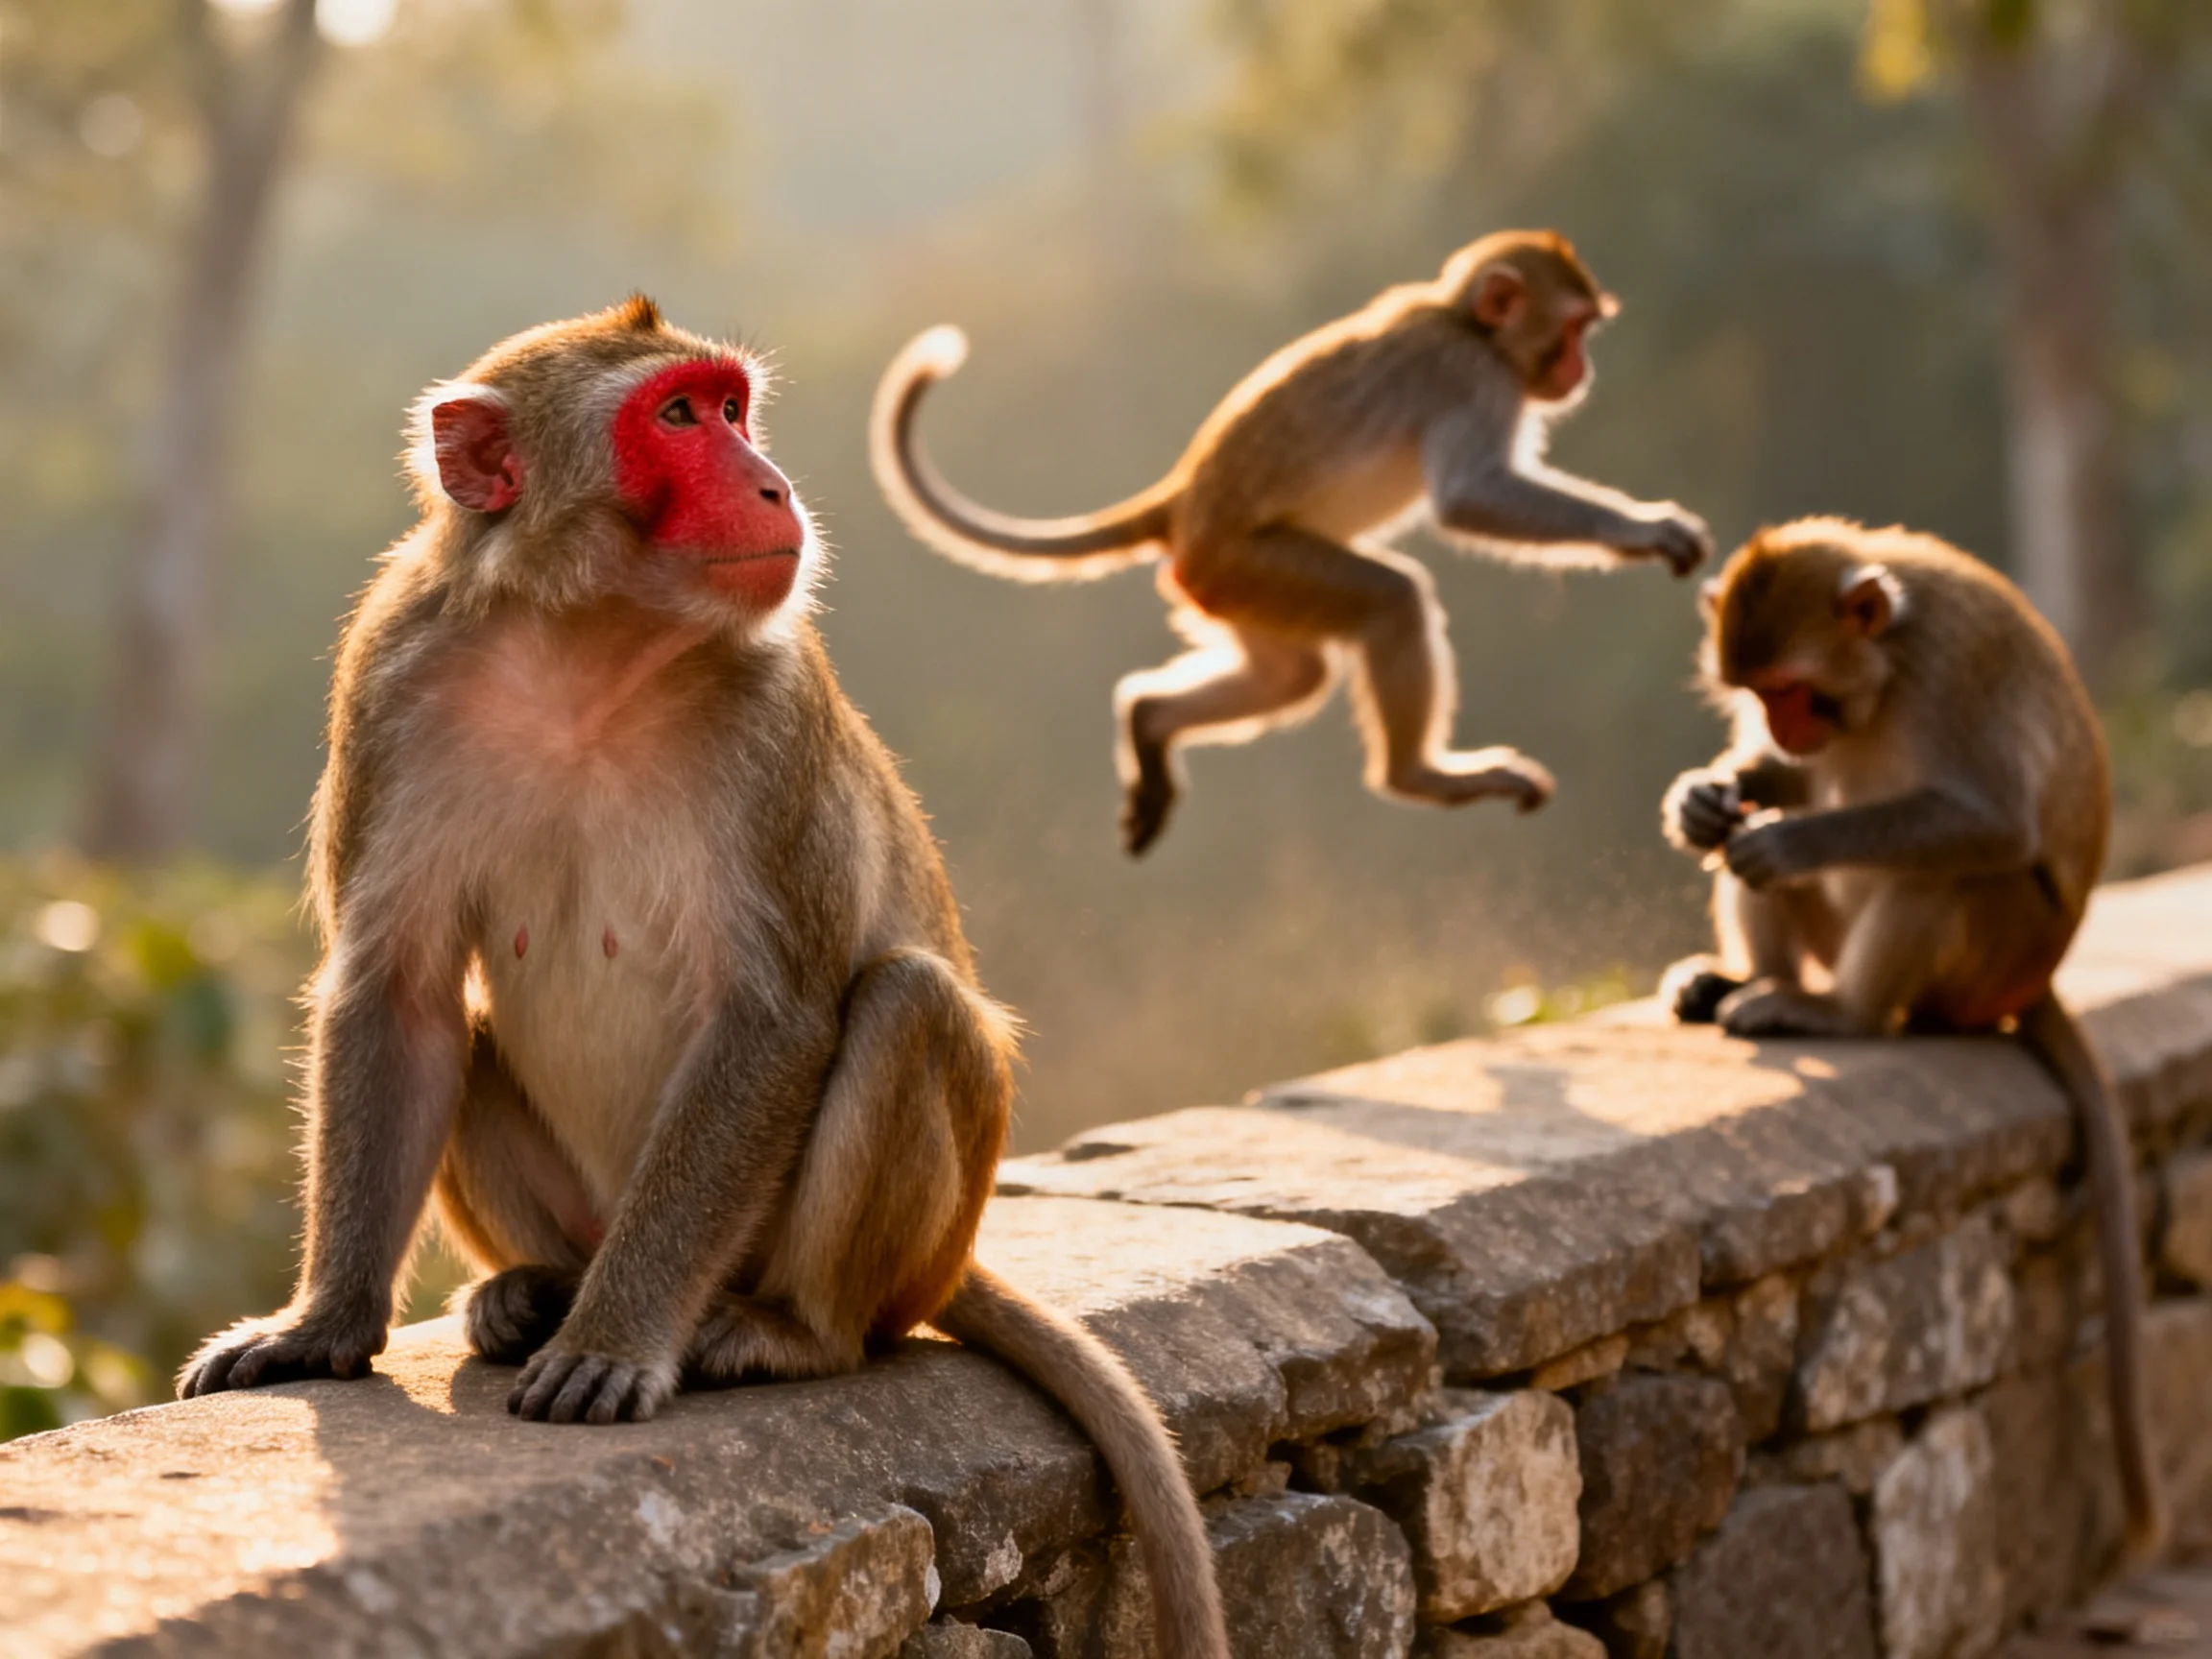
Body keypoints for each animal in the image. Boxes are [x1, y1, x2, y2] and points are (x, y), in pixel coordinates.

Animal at [174, 297, 1230, 1659]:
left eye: (731, 409)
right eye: (677, 417)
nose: (771, 482)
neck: (587, 644)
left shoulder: (771, 707)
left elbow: (774, 1017)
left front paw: (618, 1341)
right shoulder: (393, 675)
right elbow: (400, 993)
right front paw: (321, 1329)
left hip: (877, 1260)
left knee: (901, 1009)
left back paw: (784, 1334)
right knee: (469, 1026)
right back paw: (535, 1292)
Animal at [871, 228, 1713, 856]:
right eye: (1572, 329)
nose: (1581, 368)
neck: (1464, 322)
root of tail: (1183, 498)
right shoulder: (1473, 378)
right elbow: (1470, 495)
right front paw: (1643, 527)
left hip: (1223, 587)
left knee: (1291, 676)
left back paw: (1149, 720)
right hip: (1252, 565)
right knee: (1393, 601)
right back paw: (1419, 776)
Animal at [1657, 516, 2166, 1561]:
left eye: (1794, 688)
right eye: (1758, 696)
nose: (1783, 726)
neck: (1886, 664)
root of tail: (2037, 979)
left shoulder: (1951, 672)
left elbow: (1990, 823)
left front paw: (1787, 836)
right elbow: (1772, 791)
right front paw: (1709, 793)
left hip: (1993, 954)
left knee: (1952, 873)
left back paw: (1839, 1013)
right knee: (1767, 856)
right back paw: (1741, 979)